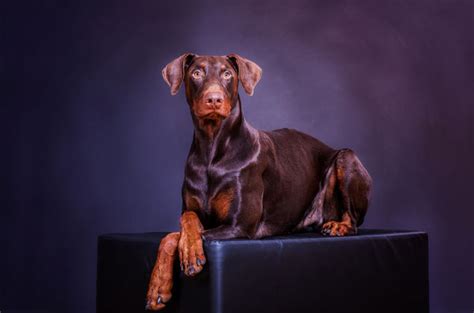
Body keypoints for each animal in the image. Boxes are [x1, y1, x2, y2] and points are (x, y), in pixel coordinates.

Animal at [144, 53, 370, 310]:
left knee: (354, 221)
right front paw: (158, 286)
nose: (214, 99)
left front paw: (190, 253)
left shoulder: (239, 226)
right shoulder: (193, 210)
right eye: (196, 73)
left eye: (227, 74)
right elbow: (182, 225)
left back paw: (338, 226)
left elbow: (180, 235)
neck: (212, 150)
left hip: (346, 158)